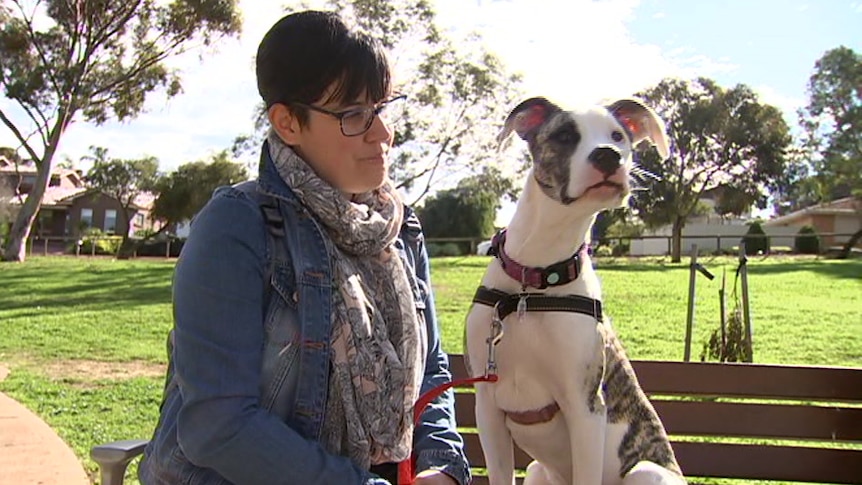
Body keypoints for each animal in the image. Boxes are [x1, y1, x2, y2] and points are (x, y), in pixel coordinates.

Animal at [466, 96, 688, 482]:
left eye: (618, 136)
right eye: (566, 135)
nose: (608, 156)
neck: (533, 281)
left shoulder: (585, 408)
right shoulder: (487, 409)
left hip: (645, 471)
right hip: (538, 470)